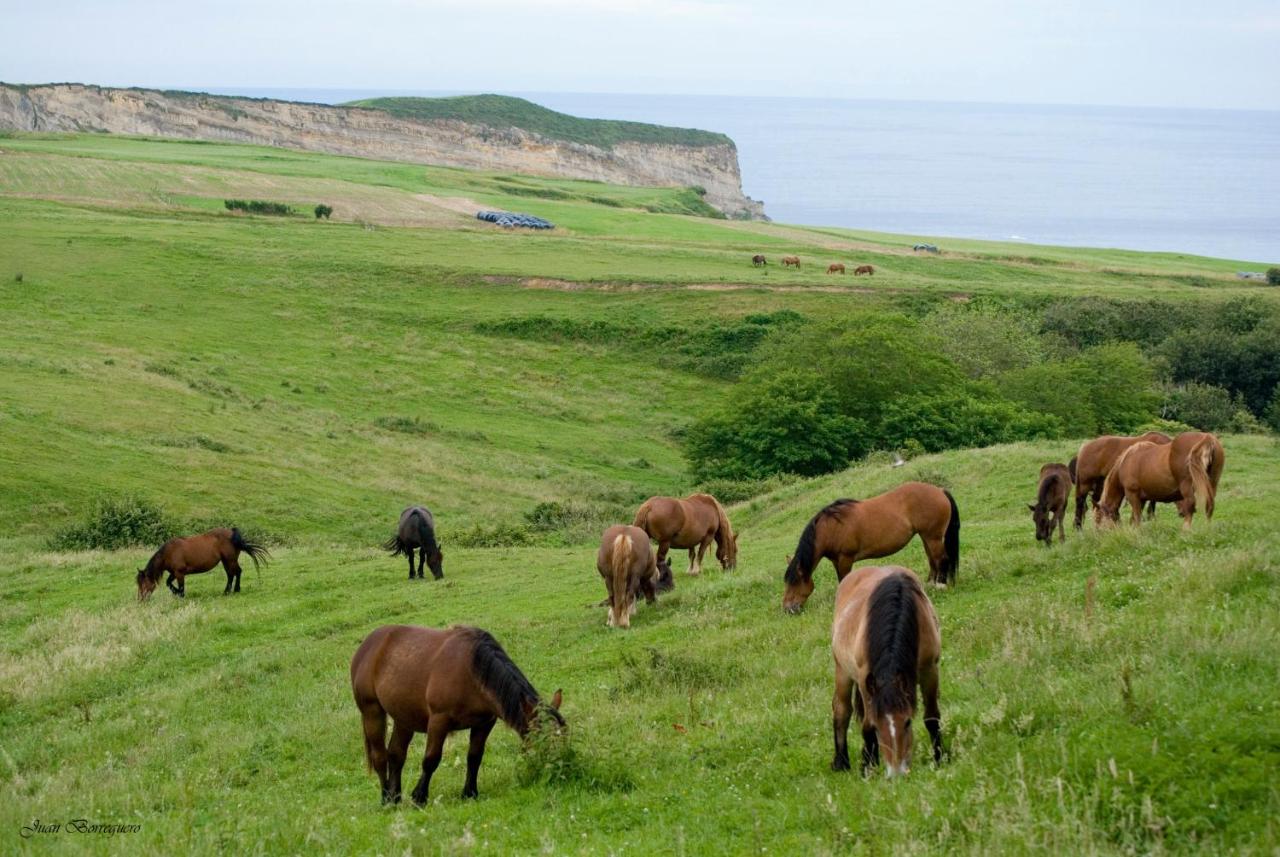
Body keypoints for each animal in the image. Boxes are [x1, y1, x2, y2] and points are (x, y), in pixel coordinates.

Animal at [136, 526, 268, 601]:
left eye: (143, 583)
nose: (141, 600)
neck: (169, 552)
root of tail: (232, 532)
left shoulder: (179, 573)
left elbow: (181, 587)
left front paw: (180, 595)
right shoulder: (174, 573)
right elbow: (169, 583)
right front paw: (176, 593)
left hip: (230, 560)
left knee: (237, 572)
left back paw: (236, 590)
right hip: (226, 561)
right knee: (231, 575)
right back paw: (226, 592)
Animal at [353, 624, 568, 808]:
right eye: (542, 741)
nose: (561, 769)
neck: (471, 671)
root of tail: (368, 645)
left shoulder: (484, 724)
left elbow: (474, 757)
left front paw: (469, 793)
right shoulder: (439, 721)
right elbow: (431, 759)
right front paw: (419, 797)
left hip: (404, 718)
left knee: (396, 755)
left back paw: (395, 797)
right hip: (372, 712)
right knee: (380, 757)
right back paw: (386, 799)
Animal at [778, 483, 962, 619]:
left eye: (794, 582)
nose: (787, 609)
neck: (830, 528)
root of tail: (939, 490)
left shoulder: (845, 559)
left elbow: (844, 579)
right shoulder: (836, 561)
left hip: (933, 537)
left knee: (941, 559)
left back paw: (940, 586)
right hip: (926, 537)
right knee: (932, 559)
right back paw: (929, 585)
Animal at [829, 567, 942, 782]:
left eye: (907, 722)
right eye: (878, 726)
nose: (896, 773)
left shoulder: (929, 670)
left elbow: (932, 717)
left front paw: (941, 758)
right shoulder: (865, 679)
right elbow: (866, 726)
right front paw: (867, 767)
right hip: (842, 670)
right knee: (841, 710)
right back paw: (841, 762)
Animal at [1095, 429, 1223, 529]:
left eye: (1099, 519)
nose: (1097, 535)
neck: (1126, 461)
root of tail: (1206, 438)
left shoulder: (1132, 495)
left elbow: (1136, 517)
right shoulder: (1142, 499)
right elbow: (1135, 519)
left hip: (1187, 486)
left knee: (1190, 505)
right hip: (1212, 483)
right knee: (1210, 505)